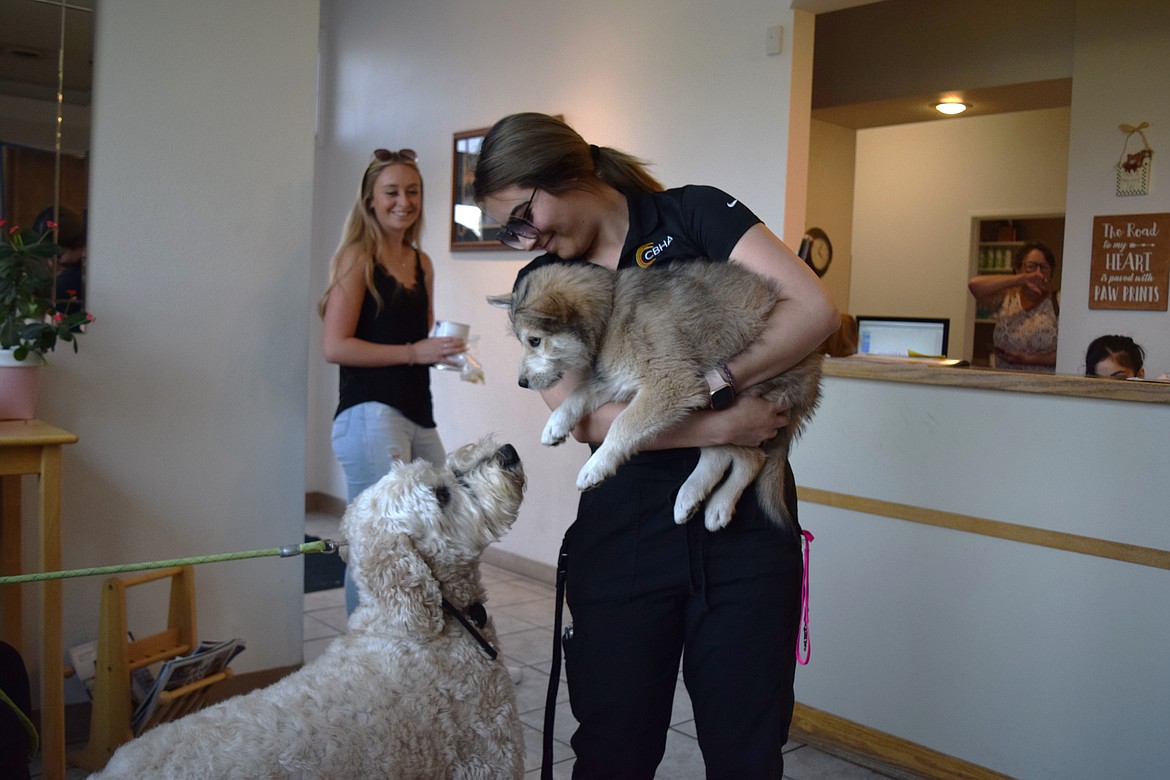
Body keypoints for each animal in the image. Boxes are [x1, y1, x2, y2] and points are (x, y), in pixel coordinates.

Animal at [486, 259, 823, 533]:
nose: (522, 383)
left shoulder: (669, 383)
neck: (611, 314)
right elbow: (580, 393)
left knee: (752, 458)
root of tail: (816, 371)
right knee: (720, 455)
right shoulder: (619, 378)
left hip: (741, 400)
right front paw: (556, 424)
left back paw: (719, 504)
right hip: (712, 412)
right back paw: (693, 498)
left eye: (534, 340)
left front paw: (596, 466)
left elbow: (622, 424)